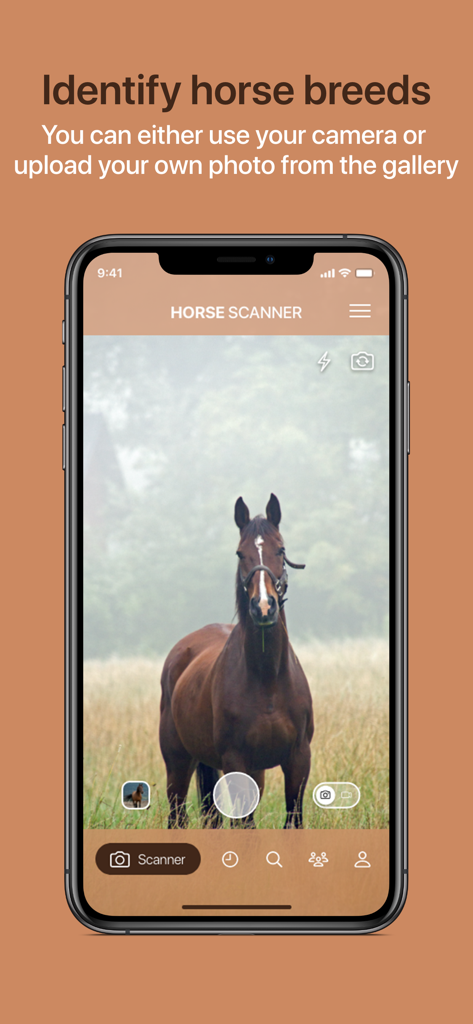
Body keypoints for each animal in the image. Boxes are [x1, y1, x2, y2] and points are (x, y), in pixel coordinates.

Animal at [159, 493, 314, 829]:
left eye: (281, 549)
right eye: (240, 552)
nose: (264, 607)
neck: (267, 680)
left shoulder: (298, 759)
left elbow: (292, 821)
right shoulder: (235, 761)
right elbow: (244, 825)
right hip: (178, 763)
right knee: (178, 816)